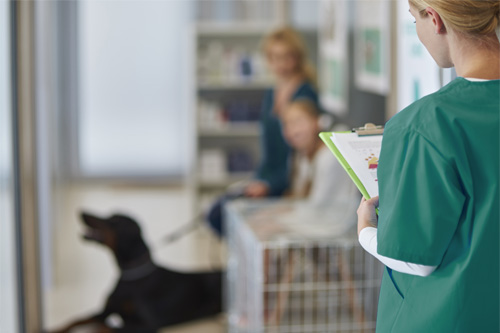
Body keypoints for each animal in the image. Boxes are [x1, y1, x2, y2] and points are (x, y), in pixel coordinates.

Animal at [51, 213, 222, 332]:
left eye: (115, 220)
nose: (82, 213)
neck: (129, 276)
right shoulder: (105, 311)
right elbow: (77, 319)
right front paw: (56, 329)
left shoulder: (148, 324)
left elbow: (106, 327)